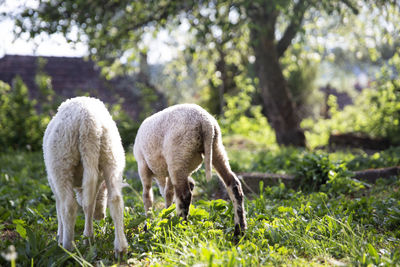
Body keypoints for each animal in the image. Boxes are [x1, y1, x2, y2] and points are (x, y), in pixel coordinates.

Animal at [42, 97, 127, 258]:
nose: (101, 216)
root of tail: (89, 122)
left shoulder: (52, 182)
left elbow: (59, 208)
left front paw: (59, 234)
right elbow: (90, 205)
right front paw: (89, 236)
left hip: (61, 162)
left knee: (69, 206)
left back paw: (67, 248)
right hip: (110, 155)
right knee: (114, 199)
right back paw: (119, 247)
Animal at [134, 103, 247, 236]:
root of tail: (205, 122)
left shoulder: (143, 166)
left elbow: (148, 196)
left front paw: (149, 225)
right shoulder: (169, 172)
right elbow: (168, 193)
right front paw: (166, 217)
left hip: (178, 155)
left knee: (184, 195)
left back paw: (180, 228)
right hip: (214, 148)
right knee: (233, 184)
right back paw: (239, 230)